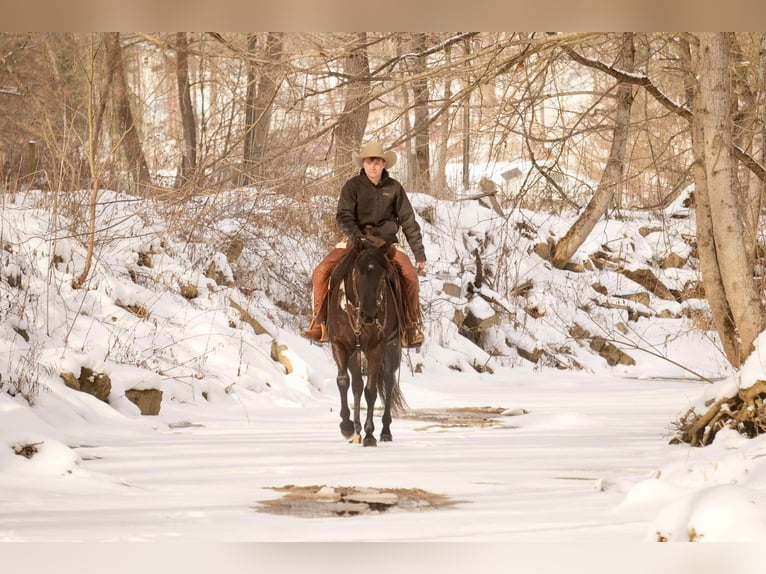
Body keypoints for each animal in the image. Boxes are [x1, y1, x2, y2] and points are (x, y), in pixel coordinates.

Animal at [324, 241, 408, 448]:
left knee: (388, 383)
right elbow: (343, 381)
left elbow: (371, 391)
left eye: (383, 276)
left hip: (392, 349)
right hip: (356, 353)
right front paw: (347, 427)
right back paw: (356, 431)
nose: (369, 315)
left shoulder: (377, 347)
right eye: (358, 272)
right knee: (356, 384)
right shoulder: (339, 344)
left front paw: (370, 435)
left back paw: (385, 431)